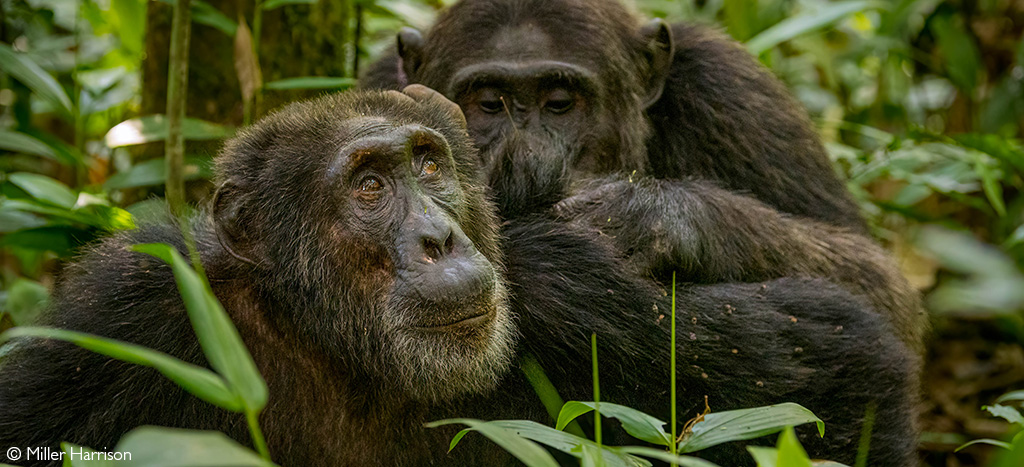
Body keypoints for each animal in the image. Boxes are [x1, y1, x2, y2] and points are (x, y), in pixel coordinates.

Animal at [0, 88, 913, 467]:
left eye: (429, 164)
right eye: (369, 185)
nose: (438, 236)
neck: (345, 353)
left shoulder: (573, 289)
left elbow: (836, 365)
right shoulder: (127, 314)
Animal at [360, 0, 929, 352]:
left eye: (560, 102)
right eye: (489, 103)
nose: (527, 151)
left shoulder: (734, 91)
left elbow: (875, 279)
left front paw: (656, 217)